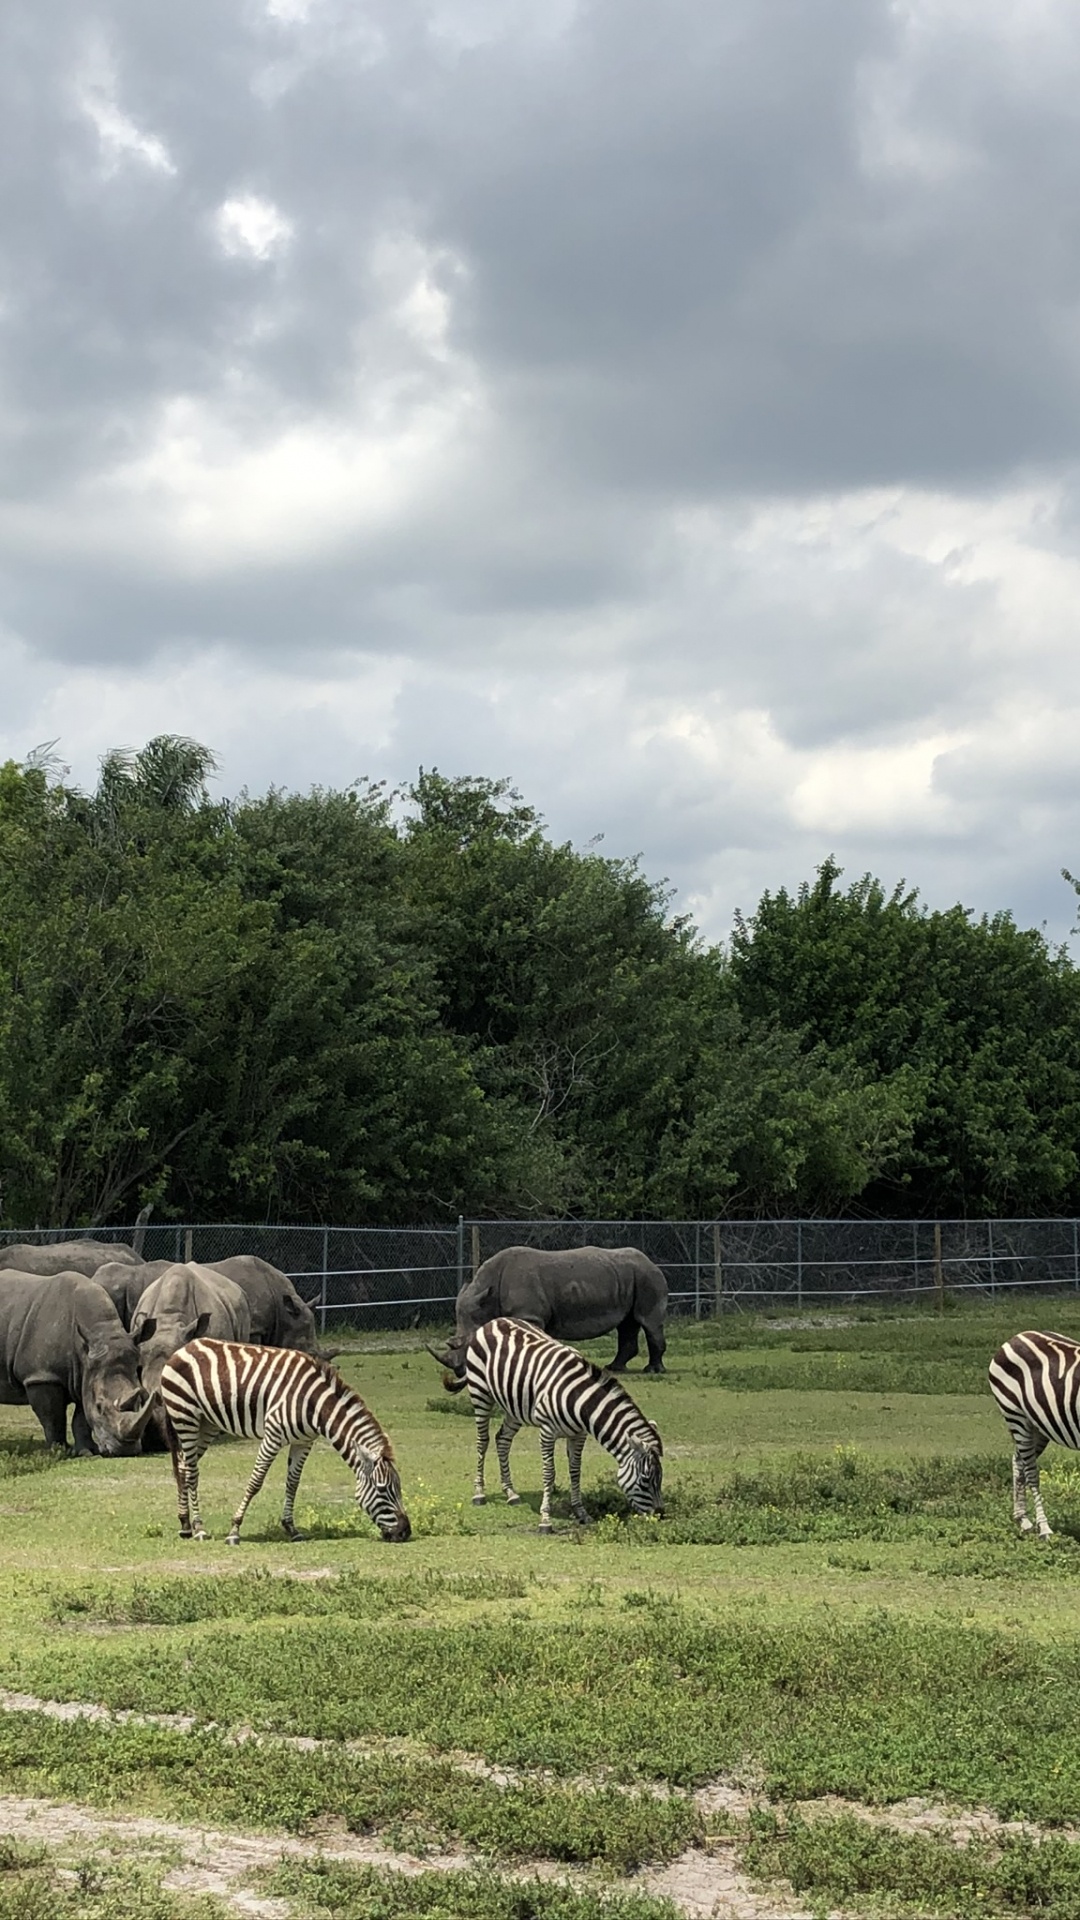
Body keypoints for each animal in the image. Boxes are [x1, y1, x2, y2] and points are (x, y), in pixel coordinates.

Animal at [159, 1338, 411, 1545]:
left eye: (398, 1487)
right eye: (383, 1489)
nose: (405, 1532)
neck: (314, 1404)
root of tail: (185, 1347)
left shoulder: (304, 1441)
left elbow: (293, 1483)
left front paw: (291, 1529)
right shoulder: (273, 1435)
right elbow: (255, 1482)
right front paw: (235, 1530)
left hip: (207, 1424)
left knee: (183, 1467)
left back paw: (185, 1525)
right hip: (185, 1416)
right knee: (192, 1472)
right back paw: (199, 1528)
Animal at [429, 1316, 663, 1531]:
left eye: (660, 1478)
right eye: (645, 1480)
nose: (660, 1515)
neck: (579, 1401)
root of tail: (493, 1321)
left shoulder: (578, 1434)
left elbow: (575, 1471)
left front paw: (581, 1513)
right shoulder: (547, 1431)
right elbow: (549, 1473)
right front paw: (545, 1520)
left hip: (515, 1406)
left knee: (502, 1440)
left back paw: (511, 1493)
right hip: (480, 1393)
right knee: (483, 1441)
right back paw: (479, 1493)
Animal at [988, 1329, 1080, 1537]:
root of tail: (1017, 1336)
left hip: (1038, 1426)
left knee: (1018, 1462)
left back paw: (1023, 1519)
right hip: (1015, 1415)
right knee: (1031, 1472)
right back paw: (1044, 1528)